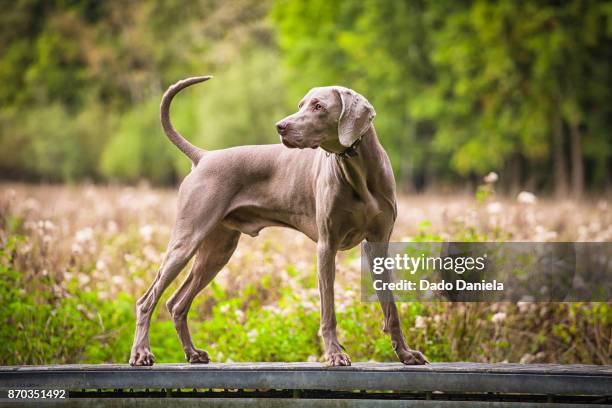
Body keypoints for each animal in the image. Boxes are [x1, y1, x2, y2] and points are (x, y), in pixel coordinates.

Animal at [127, 75, 428, 366]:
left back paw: (192, 353)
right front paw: (334, 354)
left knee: (177, 303)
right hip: (187, 238)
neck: (358, 169)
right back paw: (141, 353)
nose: (280, 126)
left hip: (217, 250)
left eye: (318, 106)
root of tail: (204, 156)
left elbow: (391, 308)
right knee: (147, 300)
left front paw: (406, 354)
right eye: (301, 105)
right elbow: (328, 310)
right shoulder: (326, 245)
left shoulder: (379, 243)